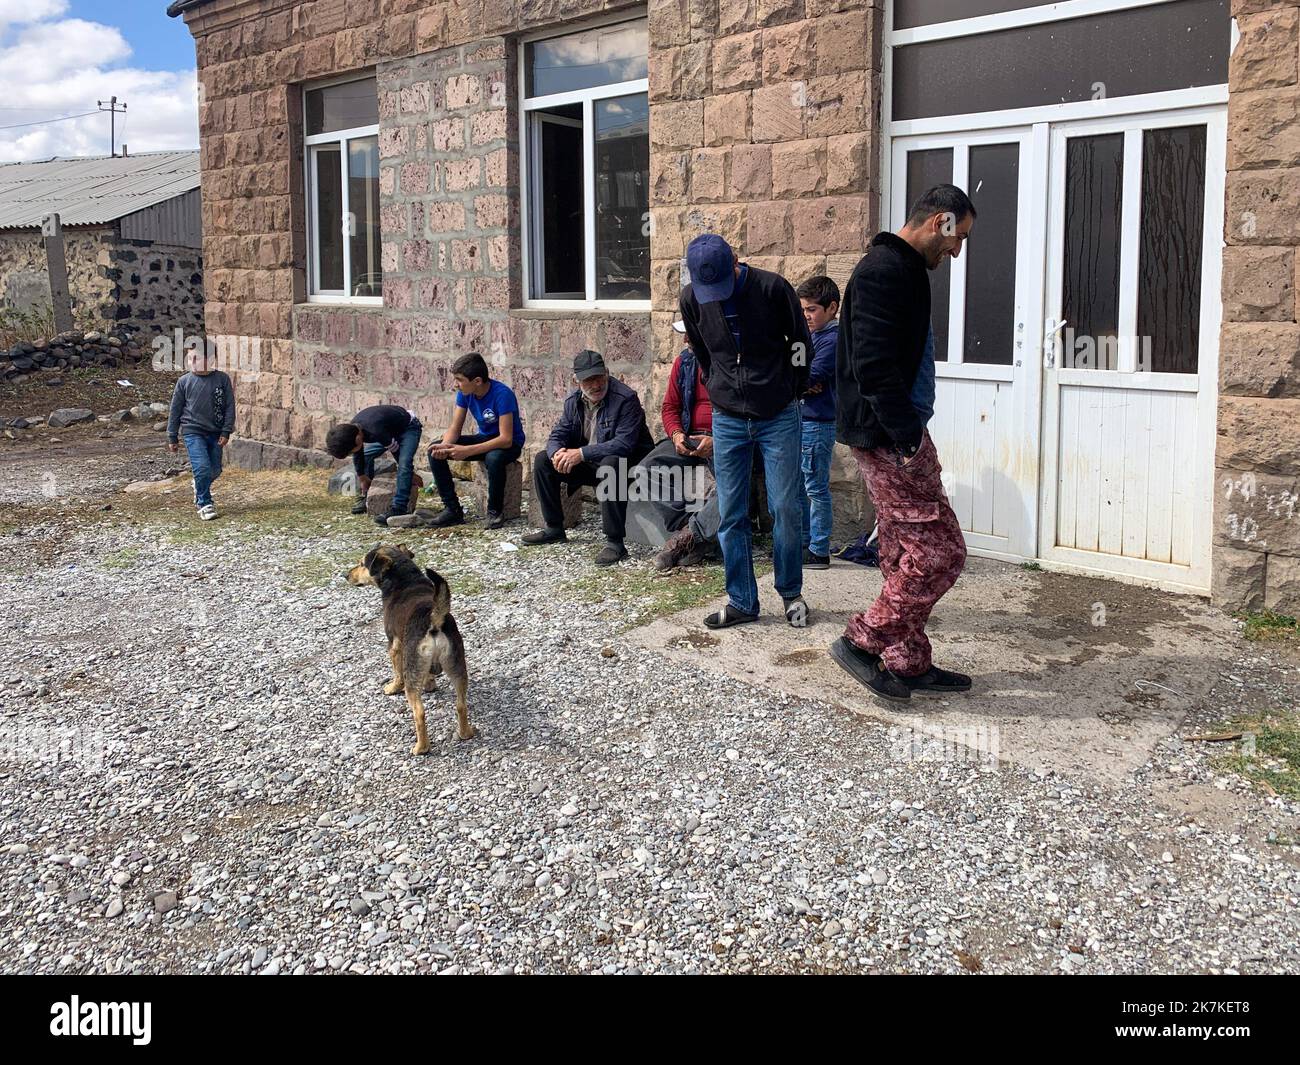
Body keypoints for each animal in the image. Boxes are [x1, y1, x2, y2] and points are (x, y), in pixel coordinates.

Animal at [348, 546, 475, 754]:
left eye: (361, 564)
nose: (345, 575)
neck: (405, 579)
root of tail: (433, 620)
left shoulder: (394, 645)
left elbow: (396, 673)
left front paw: (392, 688)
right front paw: (430, 684)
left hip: (413, 675)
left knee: (420, 713)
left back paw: (421, 747)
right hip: (457, 667)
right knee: (461, 705)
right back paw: (465, 733)